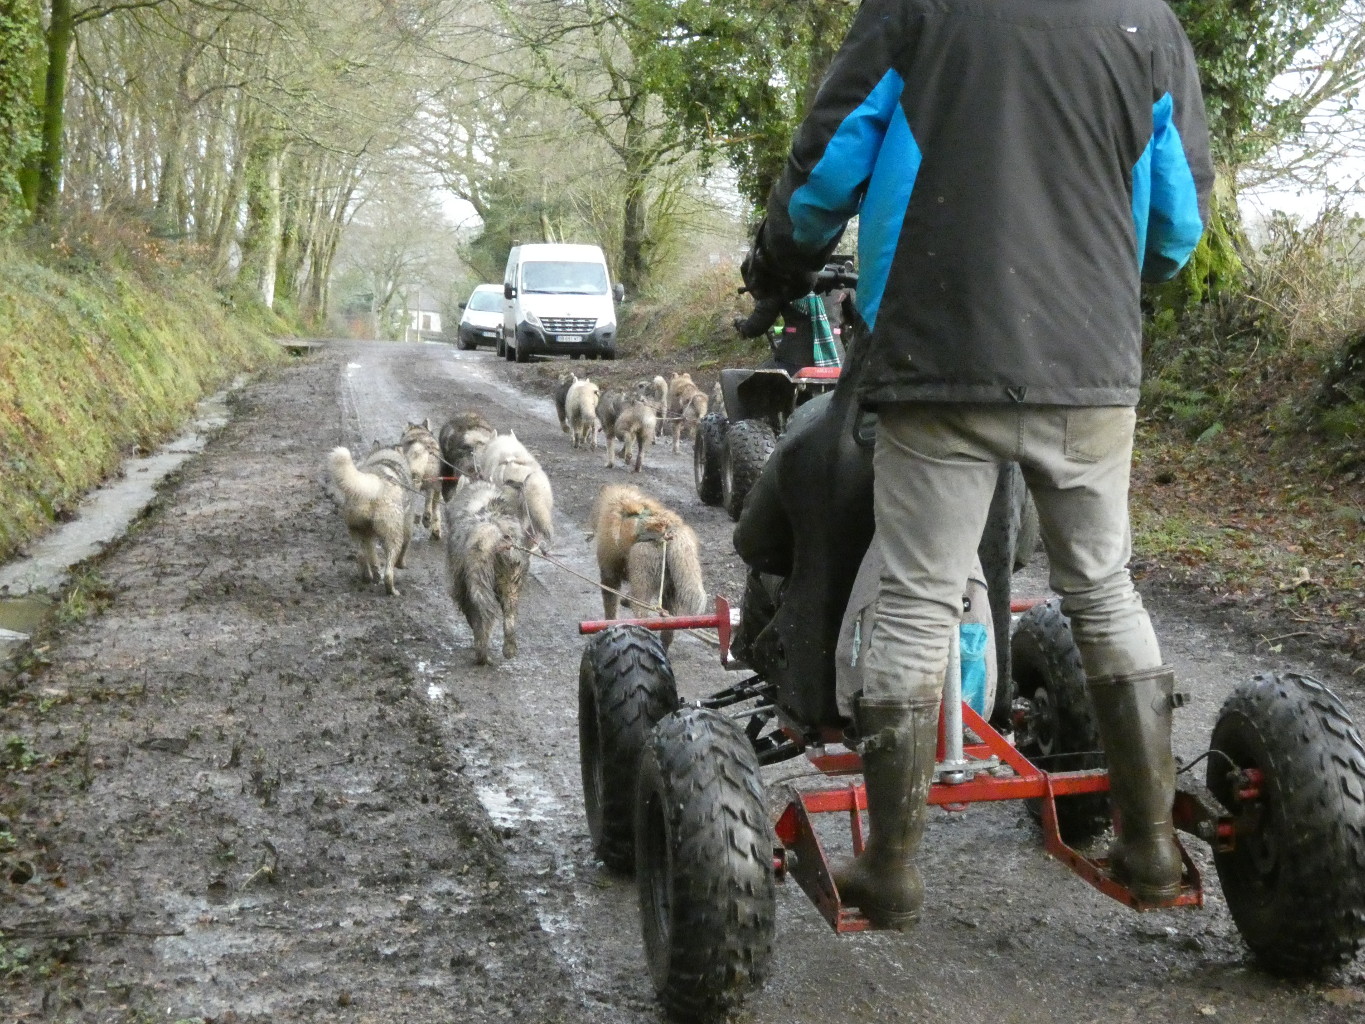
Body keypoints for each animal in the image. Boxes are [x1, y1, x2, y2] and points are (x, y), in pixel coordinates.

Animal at [326, 445, 413, 595]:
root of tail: (376, 481)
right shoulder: (407, 523)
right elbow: (406, 544)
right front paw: (401, 564)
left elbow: (372, 556)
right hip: (392, 536)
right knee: (389, 571)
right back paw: (392, 590)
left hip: (358, 530)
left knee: (361, 555)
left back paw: (368, 577)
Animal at [443, 480, 531, 665]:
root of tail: (500, 537)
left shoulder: (460, 579)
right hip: (512, 577)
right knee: (509, 614)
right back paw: (509, 649)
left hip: (478, 577)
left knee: (484, 613)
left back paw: (482, 652)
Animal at [591, 484, 706, 648]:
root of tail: (669, 534)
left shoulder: (609, 575)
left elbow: (610, 611)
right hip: (669, 594)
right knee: (668, 632)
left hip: (643, 585)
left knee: (643, 618)